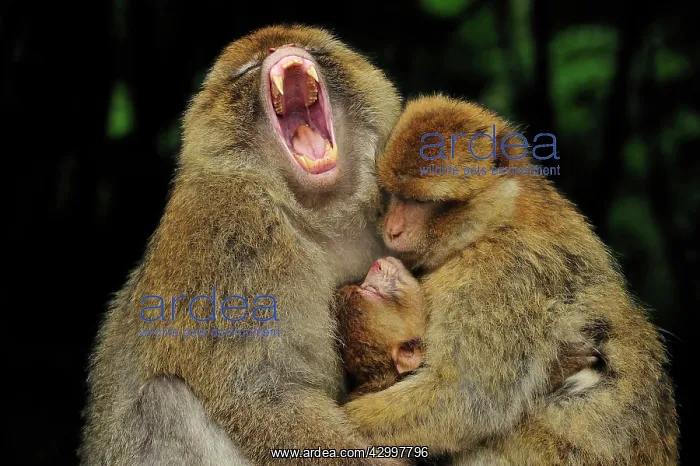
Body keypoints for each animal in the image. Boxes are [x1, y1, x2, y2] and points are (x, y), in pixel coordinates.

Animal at [79, 25, 407, 466]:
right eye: (248, 69)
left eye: (317, 51)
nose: (283, 50)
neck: (312, 211)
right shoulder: (233, 232)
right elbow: (261, 394)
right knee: (166, 402)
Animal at [343, 95, 679, 465]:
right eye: (395, 195)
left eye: (420, 201)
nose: (392, 229)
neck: (496, 219)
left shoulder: (497, 275)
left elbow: (462, 399)